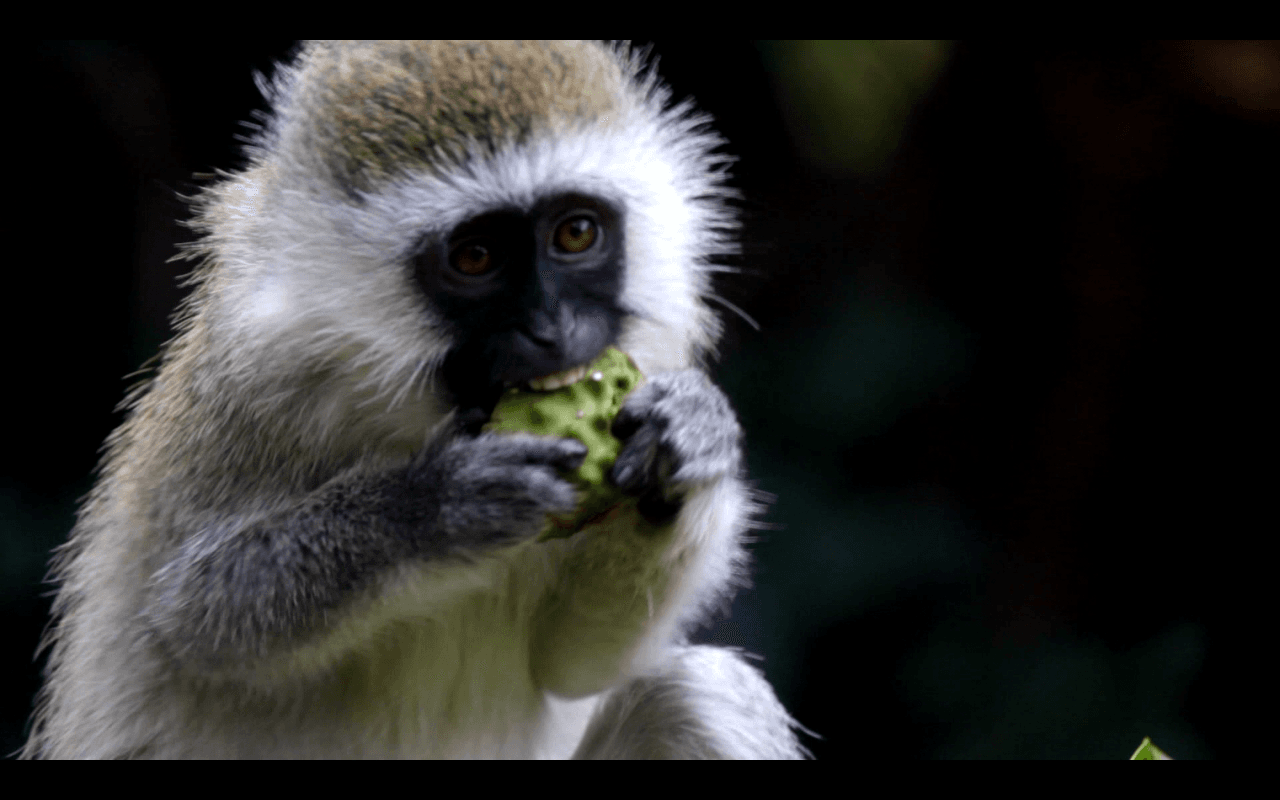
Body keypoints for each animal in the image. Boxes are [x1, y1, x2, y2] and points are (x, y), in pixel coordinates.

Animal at [22, 40, 808, 759]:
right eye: (476, 257)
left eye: (576, 232)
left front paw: (689, 441)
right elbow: (194, 615)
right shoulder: (252, 383)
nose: (552, 330)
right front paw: (429, 507)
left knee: (699, 696)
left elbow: (575, 659)